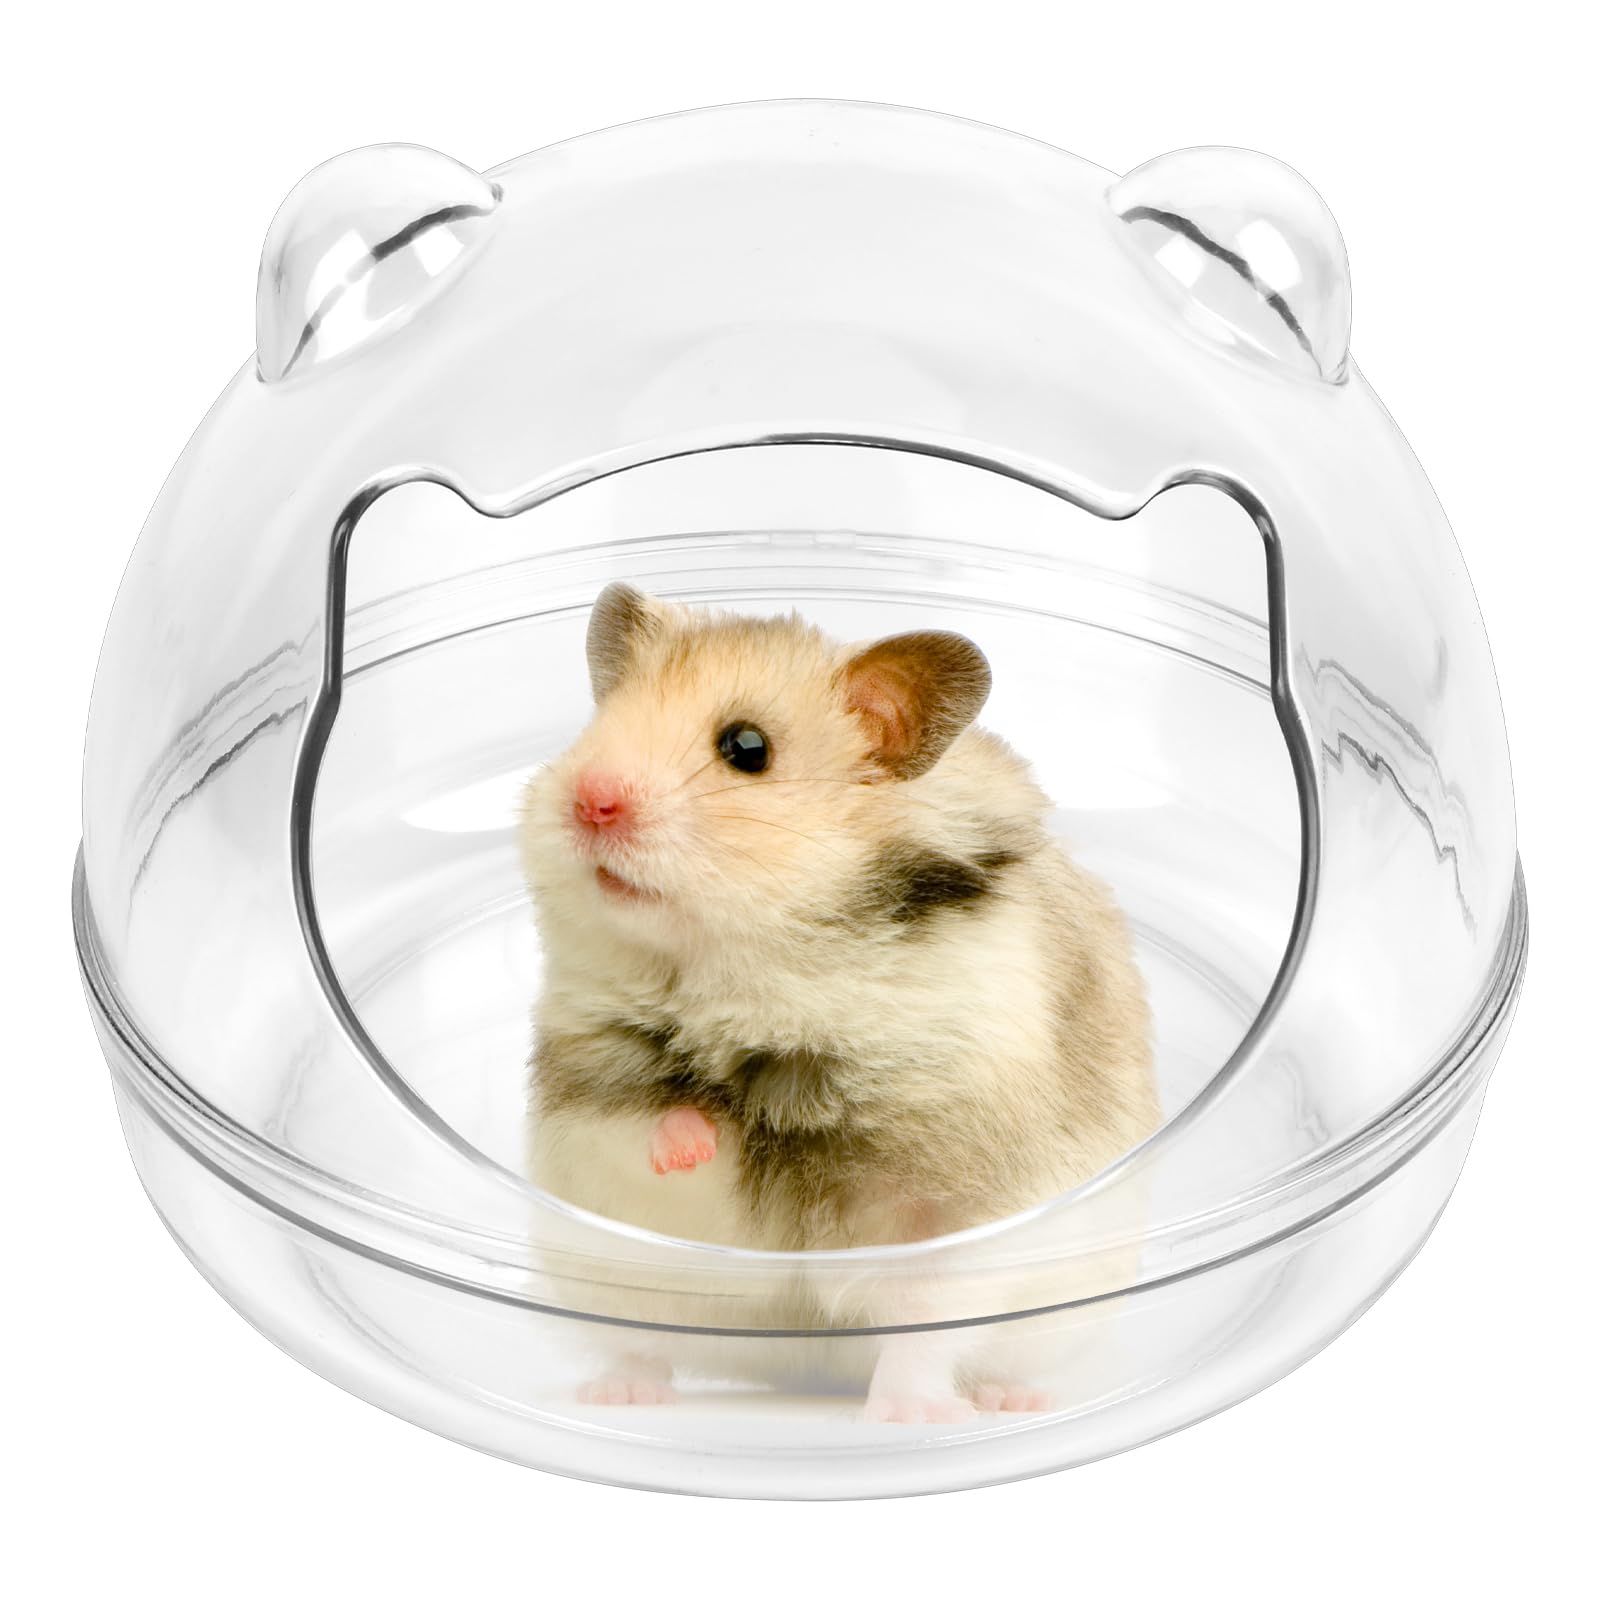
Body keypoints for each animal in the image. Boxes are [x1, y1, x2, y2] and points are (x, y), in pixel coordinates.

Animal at [519, 583, 1157, 1420]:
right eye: (599, 723)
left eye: (746, 748)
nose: (590, 802)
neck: (751, 966)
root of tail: (798, 1375)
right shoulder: (589, 1075)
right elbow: (648, 1119)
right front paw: (695, 1140)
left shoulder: (951, 1186)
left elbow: (924, 1318)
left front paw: (915, 1415)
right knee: (639, 1341)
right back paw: (618, 1395)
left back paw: (983, 1404)